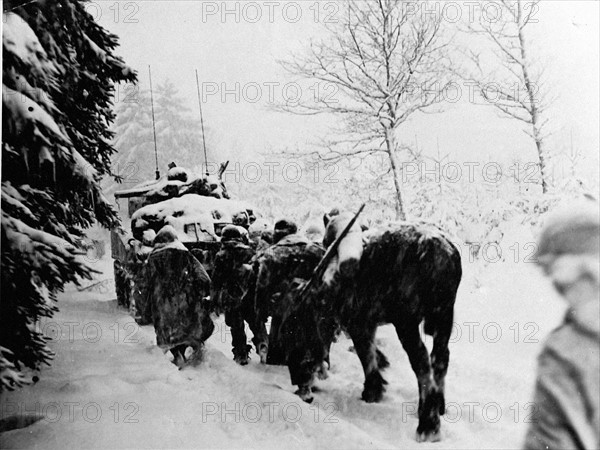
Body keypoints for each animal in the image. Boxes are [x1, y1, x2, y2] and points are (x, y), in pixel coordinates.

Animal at [284, 213, 462, 442]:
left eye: (297, 329)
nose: (299, 383)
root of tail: (441, 252)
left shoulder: (359, 322)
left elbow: (366, 355)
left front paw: (372, 390)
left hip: (408, 322)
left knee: (422, 365)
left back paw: (428, 425)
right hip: (444, 316)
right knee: (439, 359)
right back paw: (438, 406)